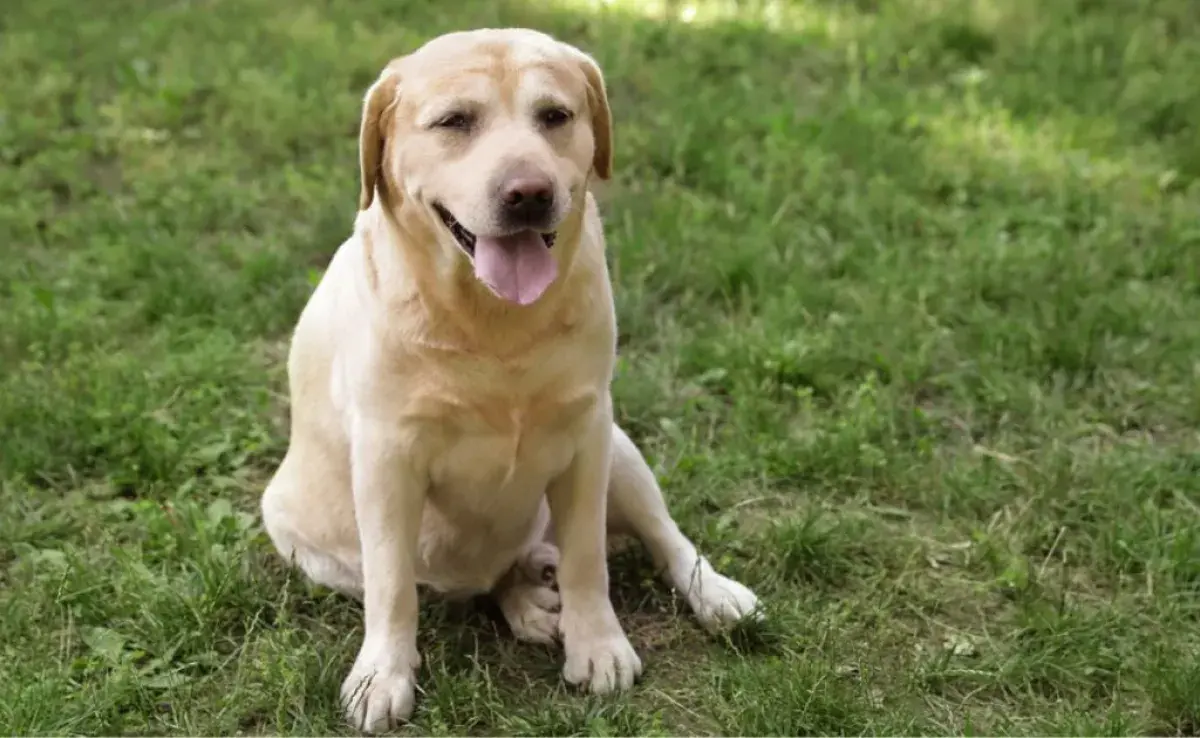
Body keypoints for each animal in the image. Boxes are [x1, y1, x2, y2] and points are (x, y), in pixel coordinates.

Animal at [261, 27, 758, 734]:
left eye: (555, 116)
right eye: (454, 122)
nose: (528, 193)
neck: (493, 324)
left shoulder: (586, 435)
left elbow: (587, 559)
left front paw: (598, 646)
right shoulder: (386, 459)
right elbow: (392, 585)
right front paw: (383, 676)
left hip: (621, 450)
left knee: (666, 538)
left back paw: (712, 594)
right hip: (304, 541)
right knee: (464, 579)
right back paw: (526, 601)